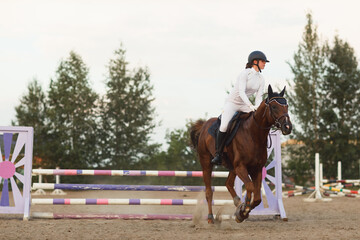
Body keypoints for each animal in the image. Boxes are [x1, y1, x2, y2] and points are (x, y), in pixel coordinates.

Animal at [190, 84, 292, 223]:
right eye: (274, 107)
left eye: (287, 106)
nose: (288, 127)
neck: (253, 135)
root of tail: (204, 125)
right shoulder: (241, 167)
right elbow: (249, 187)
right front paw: (244, 209)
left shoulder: (256, 169)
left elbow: (257, 197)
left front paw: (242, 211)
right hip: (207, 163)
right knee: (209, 191)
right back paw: (211, 217)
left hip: (232, 167)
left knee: (228, 184)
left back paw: (237, 203)